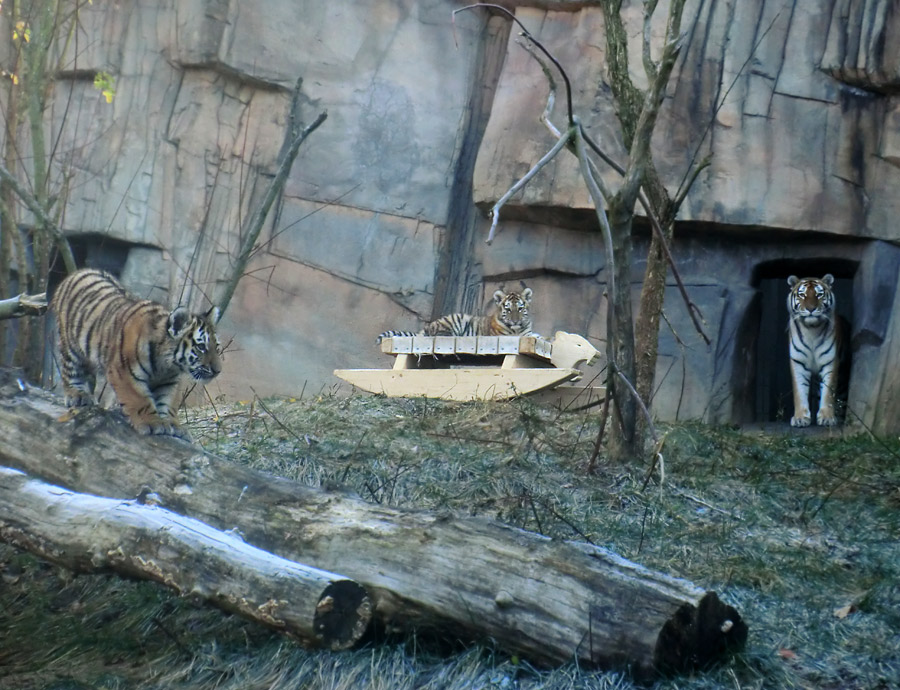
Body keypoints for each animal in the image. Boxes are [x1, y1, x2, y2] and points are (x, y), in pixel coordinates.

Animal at [51, 266, 223, 438]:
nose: (217, 371)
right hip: (71, 346)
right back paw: (78, 395)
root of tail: (78, 272)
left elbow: (166, 403)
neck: (167, 365)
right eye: (201, 347)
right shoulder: (124, 373)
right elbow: (141, 400)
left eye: (216, 346)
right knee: (71, 371)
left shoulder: (167, 382)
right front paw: (153, 423)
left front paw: (174, 425)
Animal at [380, 284, 536, 342]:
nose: (515, 321)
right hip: (456, 318)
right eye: (508, 309)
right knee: (437, 333)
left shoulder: (528, 333)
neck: (516, 329)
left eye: (520, 308)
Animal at [788, 272, 844, 424]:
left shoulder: (831, 361)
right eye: (802, 295)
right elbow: (799, 390)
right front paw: (800, 418)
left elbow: (828, 392)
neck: (811, 329)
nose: (811, 309)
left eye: (819, 295)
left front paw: (827, 417)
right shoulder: (798, 362)